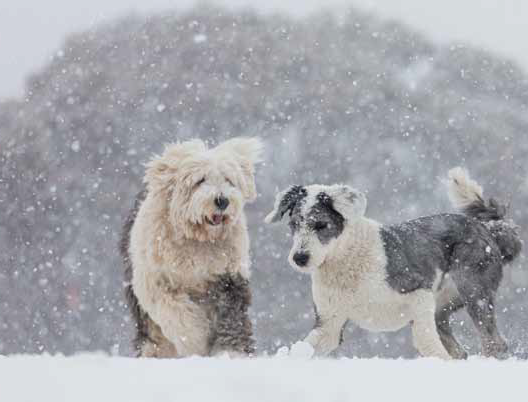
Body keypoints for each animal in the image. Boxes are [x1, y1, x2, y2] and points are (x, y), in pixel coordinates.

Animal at [122, 138, 264, 358]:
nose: (222, 200)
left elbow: (232, 316)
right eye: (200, 180)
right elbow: (177, 313)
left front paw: (231, 352)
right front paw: (195, 340)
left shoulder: (229, 276)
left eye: (228, 180)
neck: (198, 239)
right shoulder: (155, 281)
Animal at [266, 168, 520, 360]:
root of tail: (488, 228)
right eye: (294, 224)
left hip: (473, 290)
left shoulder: (418, 292)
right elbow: (304, 349)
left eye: (321, 225)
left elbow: (426, 341)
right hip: (444, 304)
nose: (300, 258)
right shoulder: (329, 322)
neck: (345, 260)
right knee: (460, 351)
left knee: (494, 343)